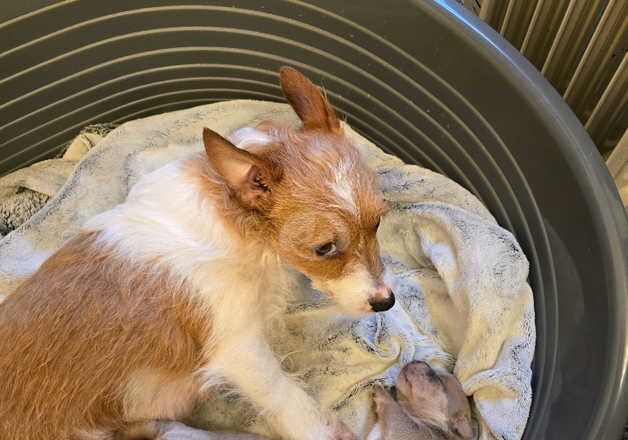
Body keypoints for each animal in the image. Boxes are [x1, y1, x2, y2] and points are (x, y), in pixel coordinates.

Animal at [0, 66, 392, 440]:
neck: (236, 226)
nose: (386, 302)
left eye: (378, 222)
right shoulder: (239, 349)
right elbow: (287, 396)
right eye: (324, 248)